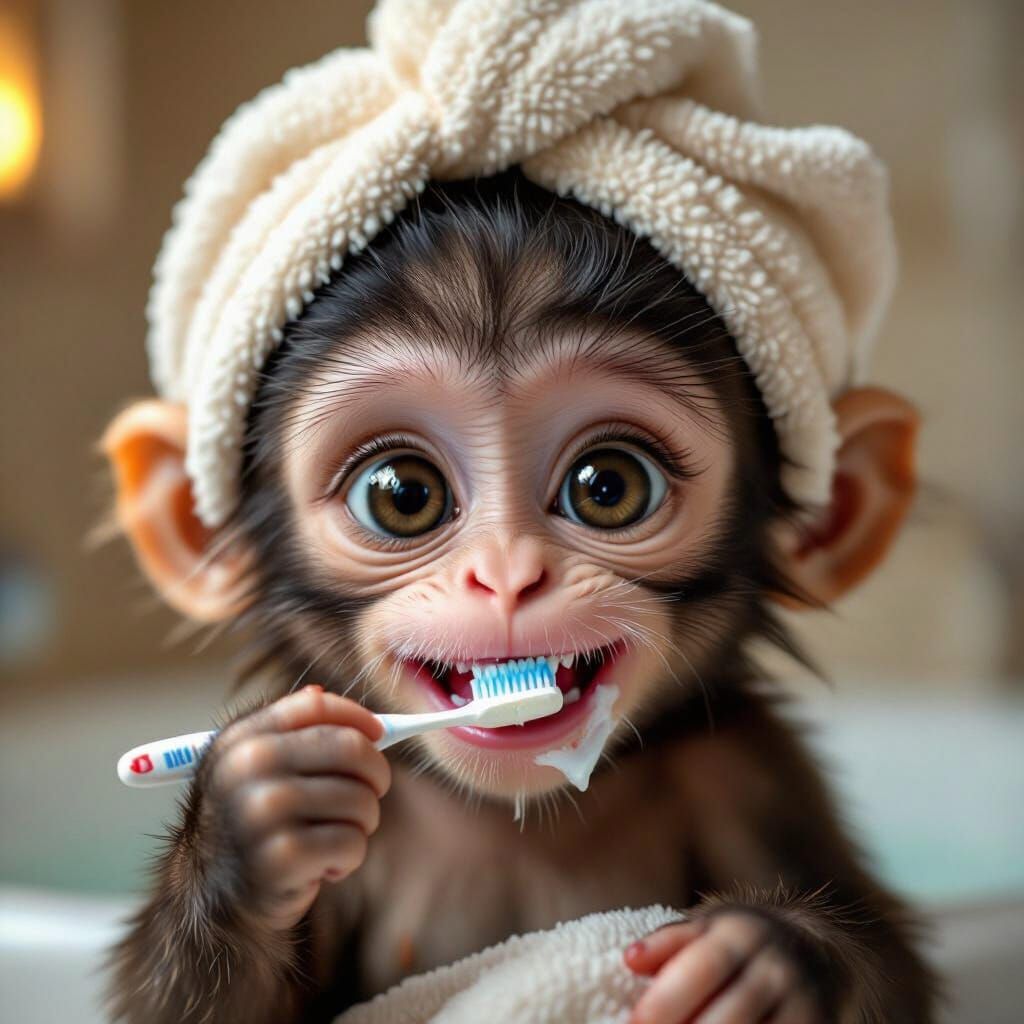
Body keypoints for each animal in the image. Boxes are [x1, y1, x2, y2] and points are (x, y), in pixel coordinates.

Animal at [103, 169, 938, 1024]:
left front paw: (765, 961)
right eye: (403, 494)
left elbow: (887, 955)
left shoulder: (755, 768)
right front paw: (254, 809)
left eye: (610, 486)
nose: (506, 574)